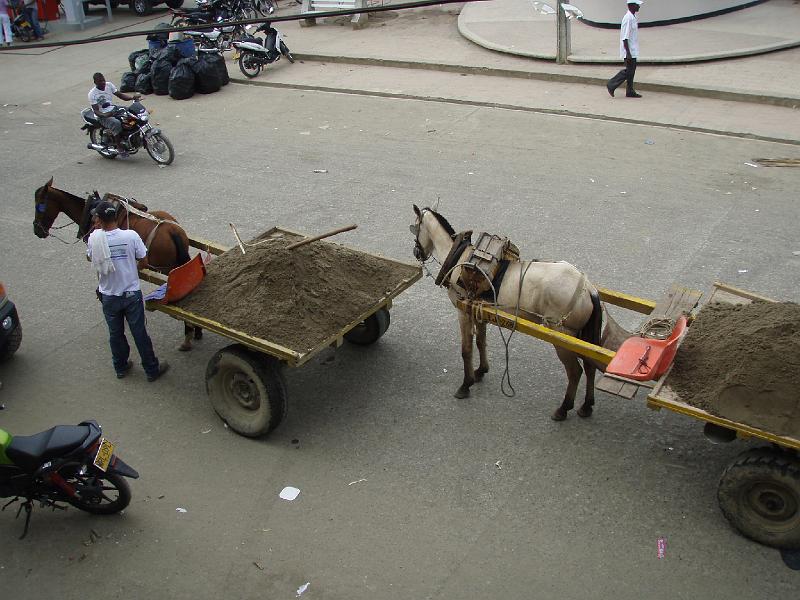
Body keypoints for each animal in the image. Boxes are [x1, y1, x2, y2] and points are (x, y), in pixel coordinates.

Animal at [33, 176, 203, 350]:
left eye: (39, 205)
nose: (37, 230)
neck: (91, 212)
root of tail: (173, 231)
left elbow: (101, 291)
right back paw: (195, 331)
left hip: (167, 268)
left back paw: (188, 335)